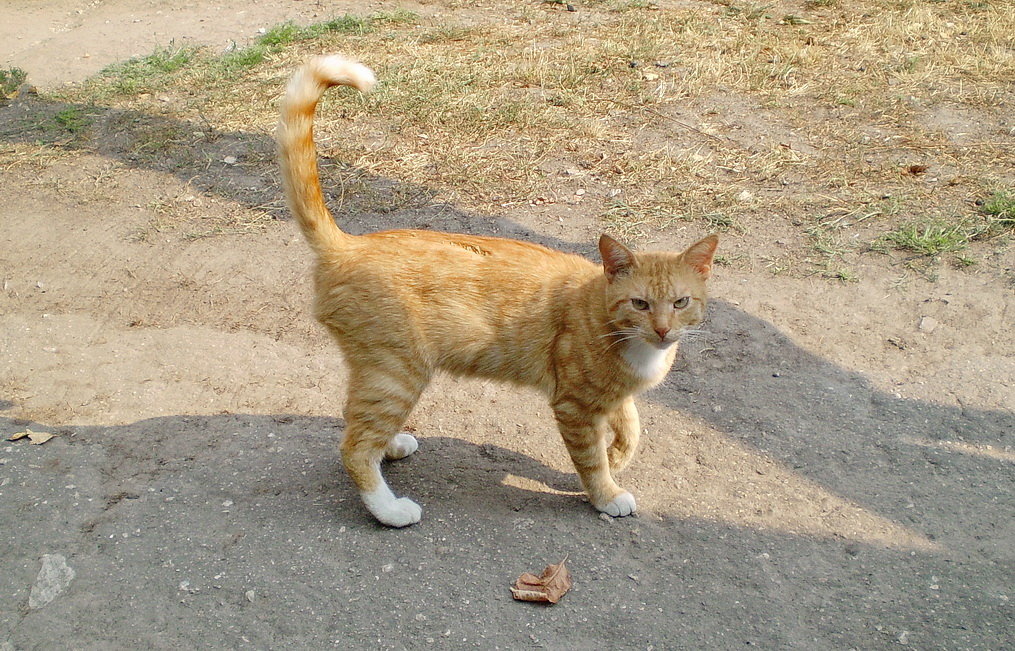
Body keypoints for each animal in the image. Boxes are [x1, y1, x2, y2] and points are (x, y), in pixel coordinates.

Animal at [274, 53, 718, 524]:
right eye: (640, 303)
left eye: (681, 302)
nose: (663, 330)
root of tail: (349, 244)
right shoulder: (574, 408)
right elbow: (590, 460)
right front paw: (606, 493)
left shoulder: (612, 398)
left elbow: (630, 426)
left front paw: (619, 455)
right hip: (396, 372)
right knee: (355, 446)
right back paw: (389, 508)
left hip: (379, 373)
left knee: (355, 420)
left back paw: (392, 446)